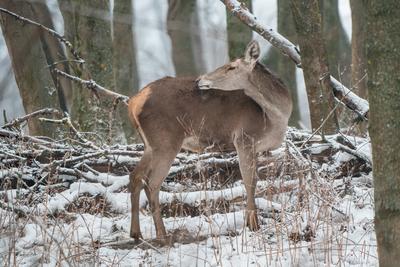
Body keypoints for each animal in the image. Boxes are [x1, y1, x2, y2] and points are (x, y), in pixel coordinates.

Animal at [127, 40, 290, 246]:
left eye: (231, 66)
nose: (200, 80)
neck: (274, 117)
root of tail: (133, 102)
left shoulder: (257, 147)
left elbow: (255, 180)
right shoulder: (244, 138)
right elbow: (250, 181)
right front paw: (253, 225)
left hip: (151, 145)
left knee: (135, 177)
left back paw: (136, 233)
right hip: (166, 140)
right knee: (152, 183)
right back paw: (162, 235)